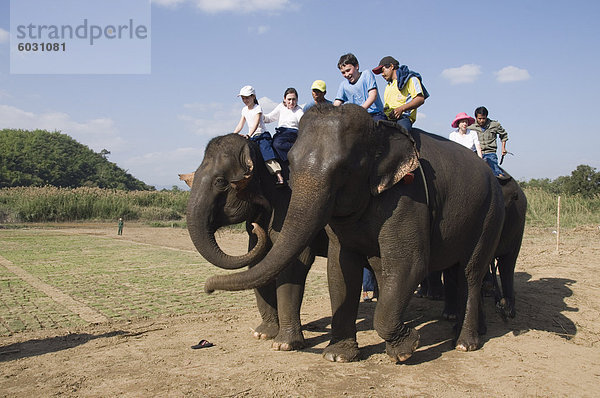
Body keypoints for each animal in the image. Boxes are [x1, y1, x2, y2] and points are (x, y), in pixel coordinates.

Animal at [188, 134, 328, 352]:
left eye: (220, 182)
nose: (208, 290)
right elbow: (259, 262)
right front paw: (262, 334)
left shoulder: (289, 204)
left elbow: (295, 261)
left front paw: (284, 345)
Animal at [206, 103, 506, 364]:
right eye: (290, 163)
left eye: (344, 169)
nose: (208, 287)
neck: (377, 130)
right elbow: (341, 269)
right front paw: (337, 356)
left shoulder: (409, 196)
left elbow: (409, 263)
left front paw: (406, 349)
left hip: (490, 213)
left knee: (471, 272)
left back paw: (465, 343)